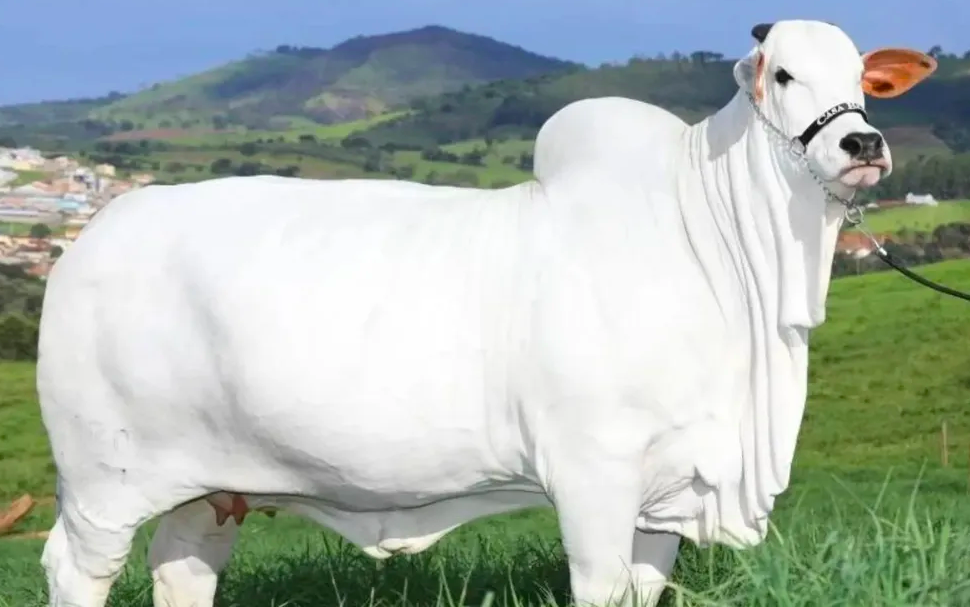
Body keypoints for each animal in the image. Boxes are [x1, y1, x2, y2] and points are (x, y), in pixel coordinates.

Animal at [36, 19, 935, 607]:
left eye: (863, 79)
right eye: (782, 75)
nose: (862, 145)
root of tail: (93, 235)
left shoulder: (668, 490)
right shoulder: (593, 475)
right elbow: (599, 587)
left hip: (210, 487)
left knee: (183, 566)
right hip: (101, 482)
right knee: (76, 571)